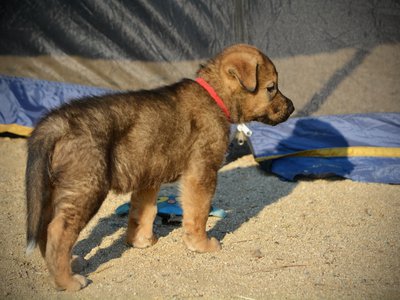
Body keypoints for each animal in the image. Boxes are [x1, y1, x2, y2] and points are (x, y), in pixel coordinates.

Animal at [25, 44, 294, 290]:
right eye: (271, 87)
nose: (292, 108)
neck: (215, 97)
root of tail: (56, 122)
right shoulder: (201, 172)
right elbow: (198, 212)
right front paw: (202, 245)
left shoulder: (148, 174)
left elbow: (143, 212)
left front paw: (140, 241)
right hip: (87, 187)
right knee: (58, 230)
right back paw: (67, 281)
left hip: (52, 188)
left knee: (45, 227)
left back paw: (67, 264)